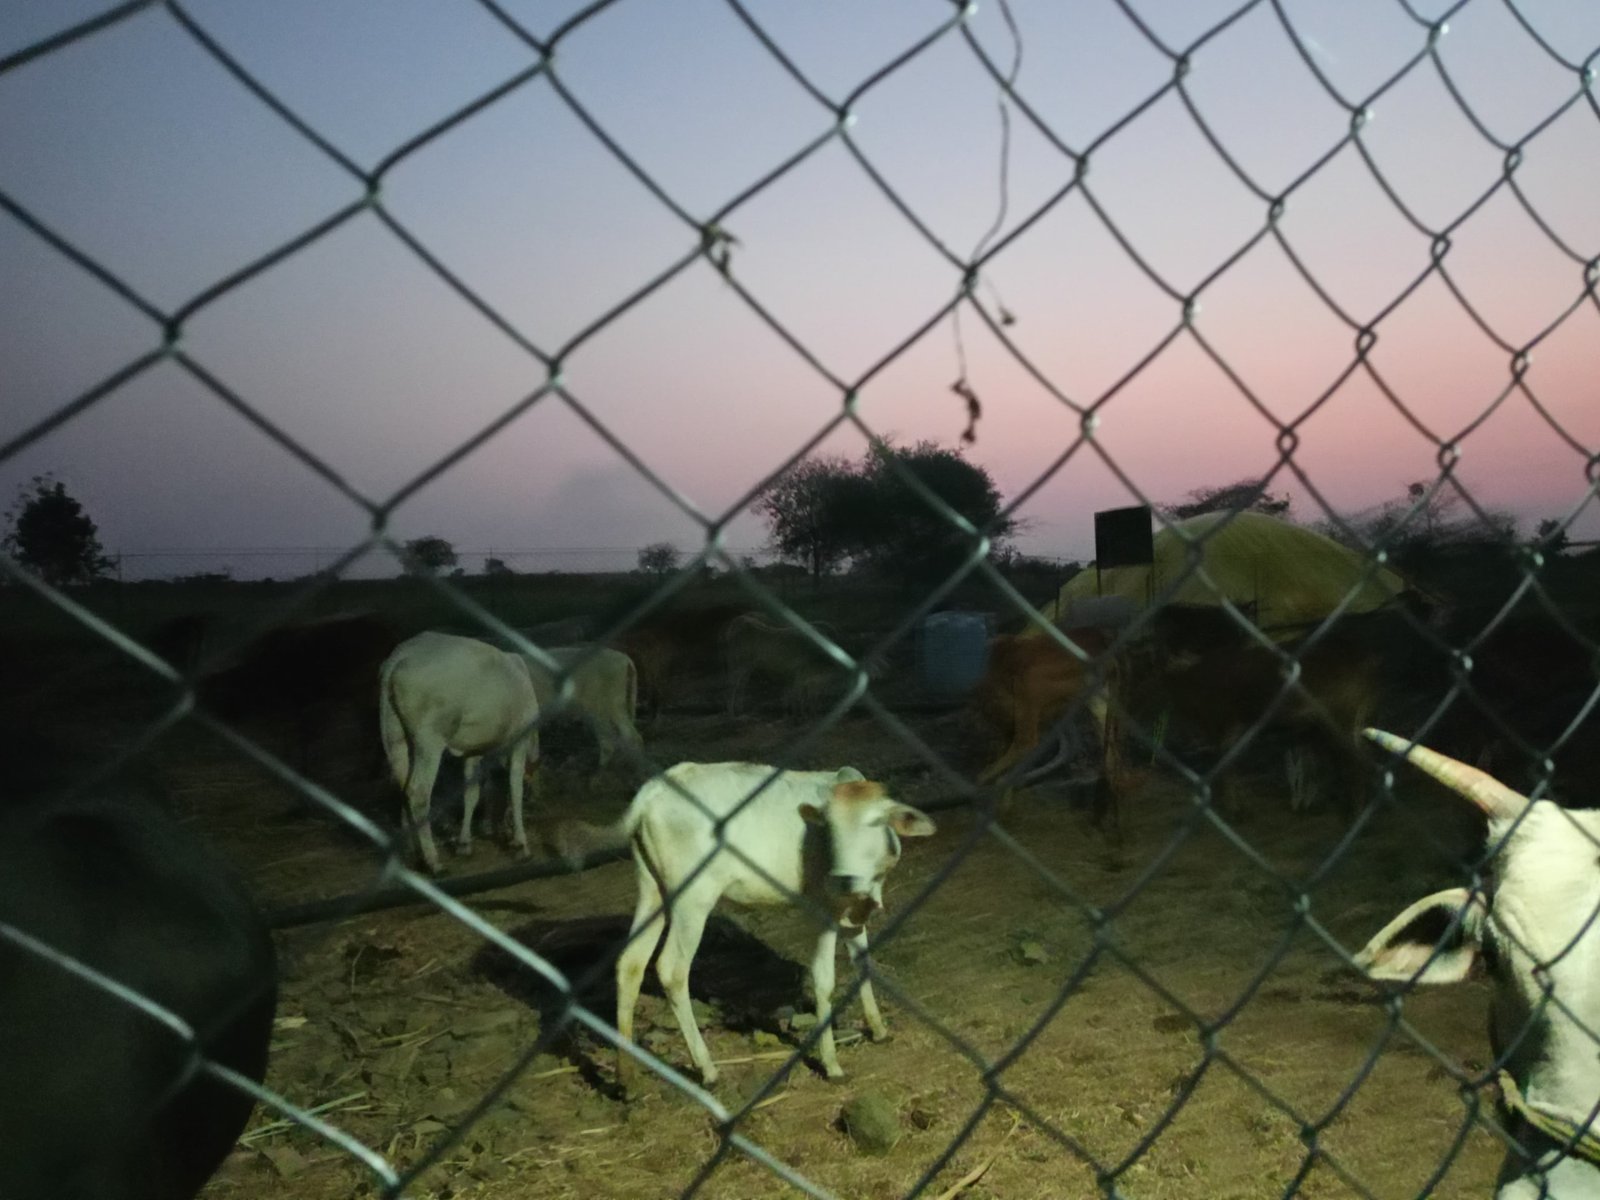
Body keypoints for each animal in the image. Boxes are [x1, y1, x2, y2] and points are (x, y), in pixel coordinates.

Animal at [377, 630, 540, 876]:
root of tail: (398, 659)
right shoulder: (518, 740)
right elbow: (515, 788)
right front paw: (521, 844)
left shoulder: (473, 750)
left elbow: (471, 794)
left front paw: (465, 843)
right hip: (430, 739)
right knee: (418, 792)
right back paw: (433, 861)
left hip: (394, 735)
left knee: (402, 786)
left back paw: (412, 853)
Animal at [598, 764, 934, 1094]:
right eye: (829, 830)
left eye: (874, 823)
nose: (843, 878)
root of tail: (654, 789)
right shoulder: (824, 907)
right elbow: (824, 979)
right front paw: (832, 1064)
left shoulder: (854, 908)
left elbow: (863, 962)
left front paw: (878, 1029)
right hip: (692, 896)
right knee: (671, 970)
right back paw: (707, 1070)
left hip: (651, 887)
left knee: (630, 963)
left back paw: (625, 1076)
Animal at [726, 614, 889, 720]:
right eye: (870, 659)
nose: (882, 674)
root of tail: (740, 622)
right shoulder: (803, 676)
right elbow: (802, 695)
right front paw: (800, 713)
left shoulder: (810, 679)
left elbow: (807, 695)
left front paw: (805, 712)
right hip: (739, 665)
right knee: (733, 686)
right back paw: (733, 712)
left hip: (748, 668)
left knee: (741, 686)